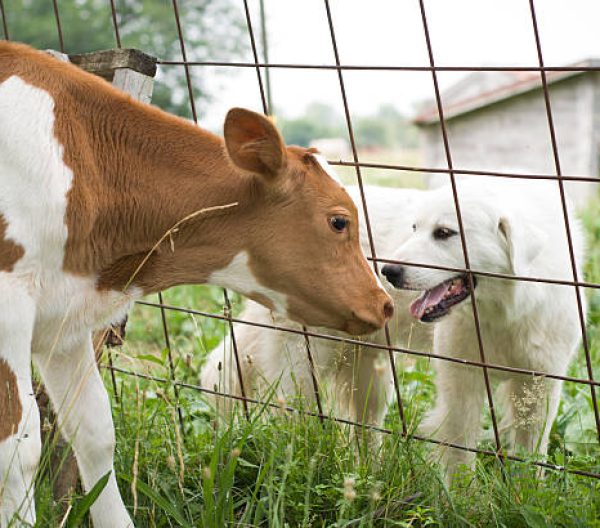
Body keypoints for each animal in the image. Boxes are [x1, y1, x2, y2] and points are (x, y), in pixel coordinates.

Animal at [0, 42, 394, 528]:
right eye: (340, 221)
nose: (384, 302)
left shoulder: (65, 320)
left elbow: (94, 433)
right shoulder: (10, 307)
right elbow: (19, 446)